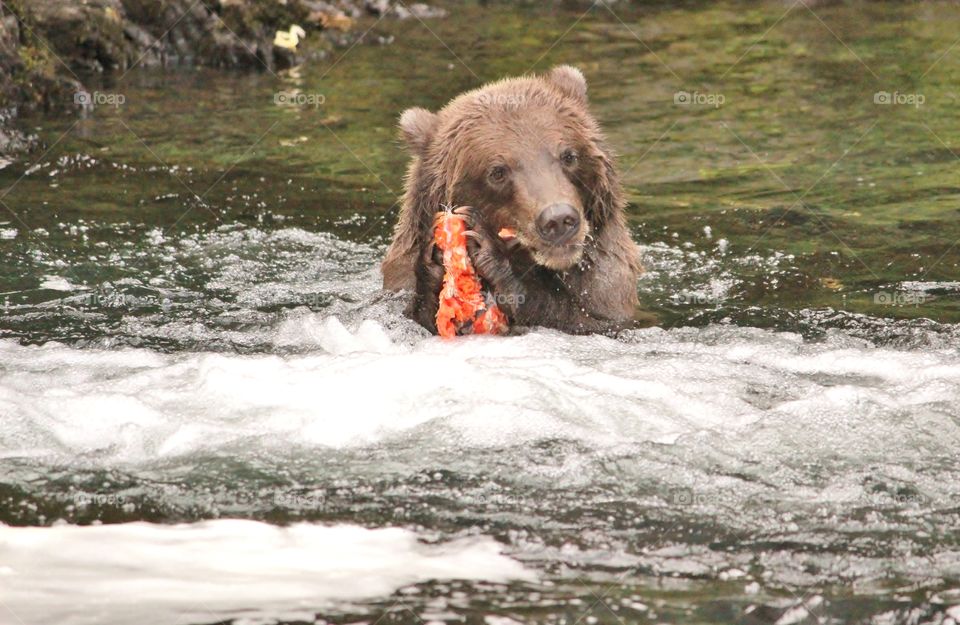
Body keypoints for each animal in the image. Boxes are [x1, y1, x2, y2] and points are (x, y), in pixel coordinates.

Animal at [378, 65, 640, 334]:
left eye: (568, 156)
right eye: (497, 171)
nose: (558, 219)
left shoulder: (607, 288)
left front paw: (491, 255)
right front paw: (433, 258)